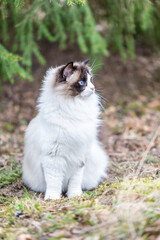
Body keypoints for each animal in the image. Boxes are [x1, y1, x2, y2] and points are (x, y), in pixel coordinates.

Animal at [22, 60, 109, 201]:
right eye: (82, 82)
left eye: (91, 80)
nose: (93, 88)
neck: (73, 106)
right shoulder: (53, 157)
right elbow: (54, 182)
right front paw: (52, 198)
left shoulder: (79, 156)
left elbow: (74, 181)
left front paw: (74, 196)